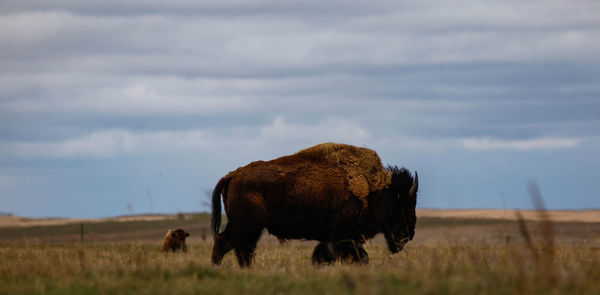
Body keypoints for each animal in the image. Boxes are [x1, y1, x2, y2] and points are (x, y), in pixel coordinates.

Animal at [211, 143, 418, 268]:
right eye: (403, 204)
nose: (409, 234)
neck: (374, 190)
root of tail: (233, 174)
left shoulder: (335, 239)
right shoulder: (342, 237)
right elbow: (356, 256)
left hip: (253, 229)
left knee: (243, 250)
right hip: (245, 225)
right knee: (224, 242)